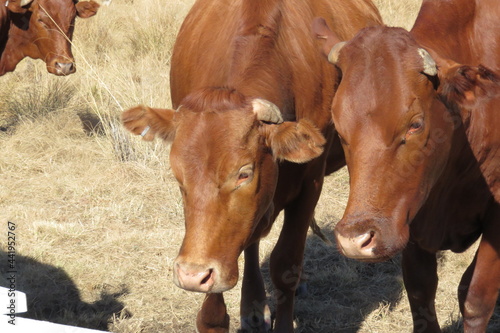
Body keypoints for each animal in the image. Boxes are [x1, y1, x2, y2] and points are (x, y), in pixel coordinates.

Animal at [122, 0, 382, 330]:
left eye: (244, 174)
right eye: (178, 176)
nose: (191, 275)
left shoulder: (310, 184)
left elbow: (286, 265)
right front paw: (216, 315)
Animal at [312, 0, 500, 330]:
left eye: (415, 124)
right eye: (338, 125)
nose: (355, 240)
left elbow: (475, 298)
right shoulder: (408, 213)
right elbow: (420, 293)